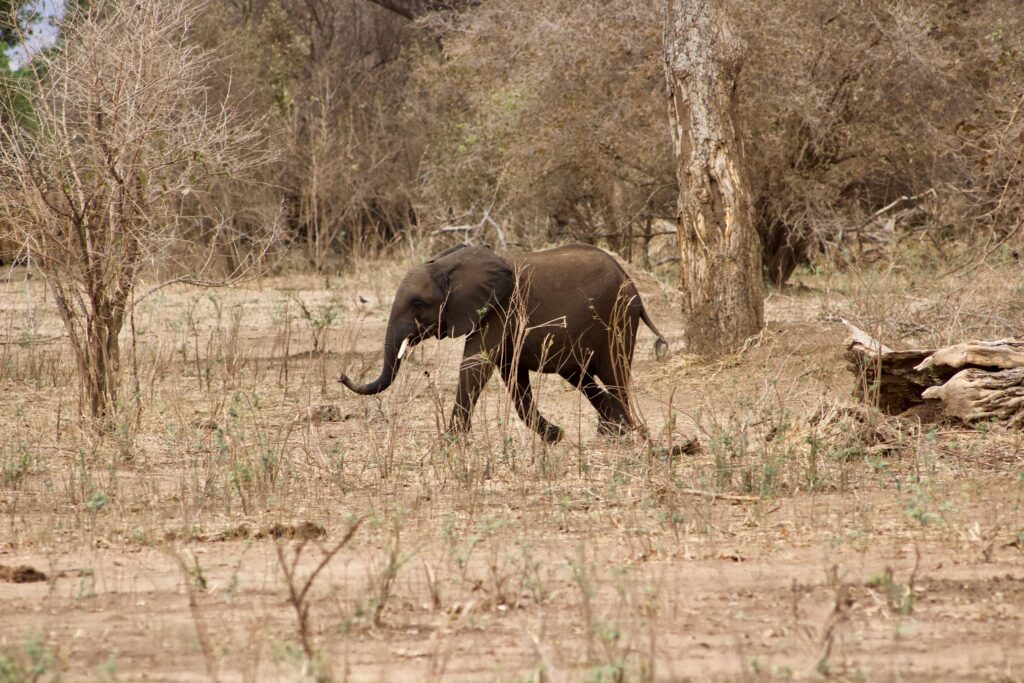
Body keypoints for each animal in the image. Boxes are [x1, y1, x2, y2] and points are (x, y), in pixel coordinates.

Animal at [339, 242, 667, 446]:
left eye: (418, 303)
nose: (341, 376)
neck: (448, 265)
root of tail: (633, 284)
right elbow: (512, 376)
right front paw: (556, 437)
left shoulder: (500, 308)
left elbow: (477, 363)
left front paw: (451, 442)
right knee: (583, 377)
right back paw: (613, 431)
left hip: (619, 317)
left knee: (614, 374)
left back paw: (627, 433)